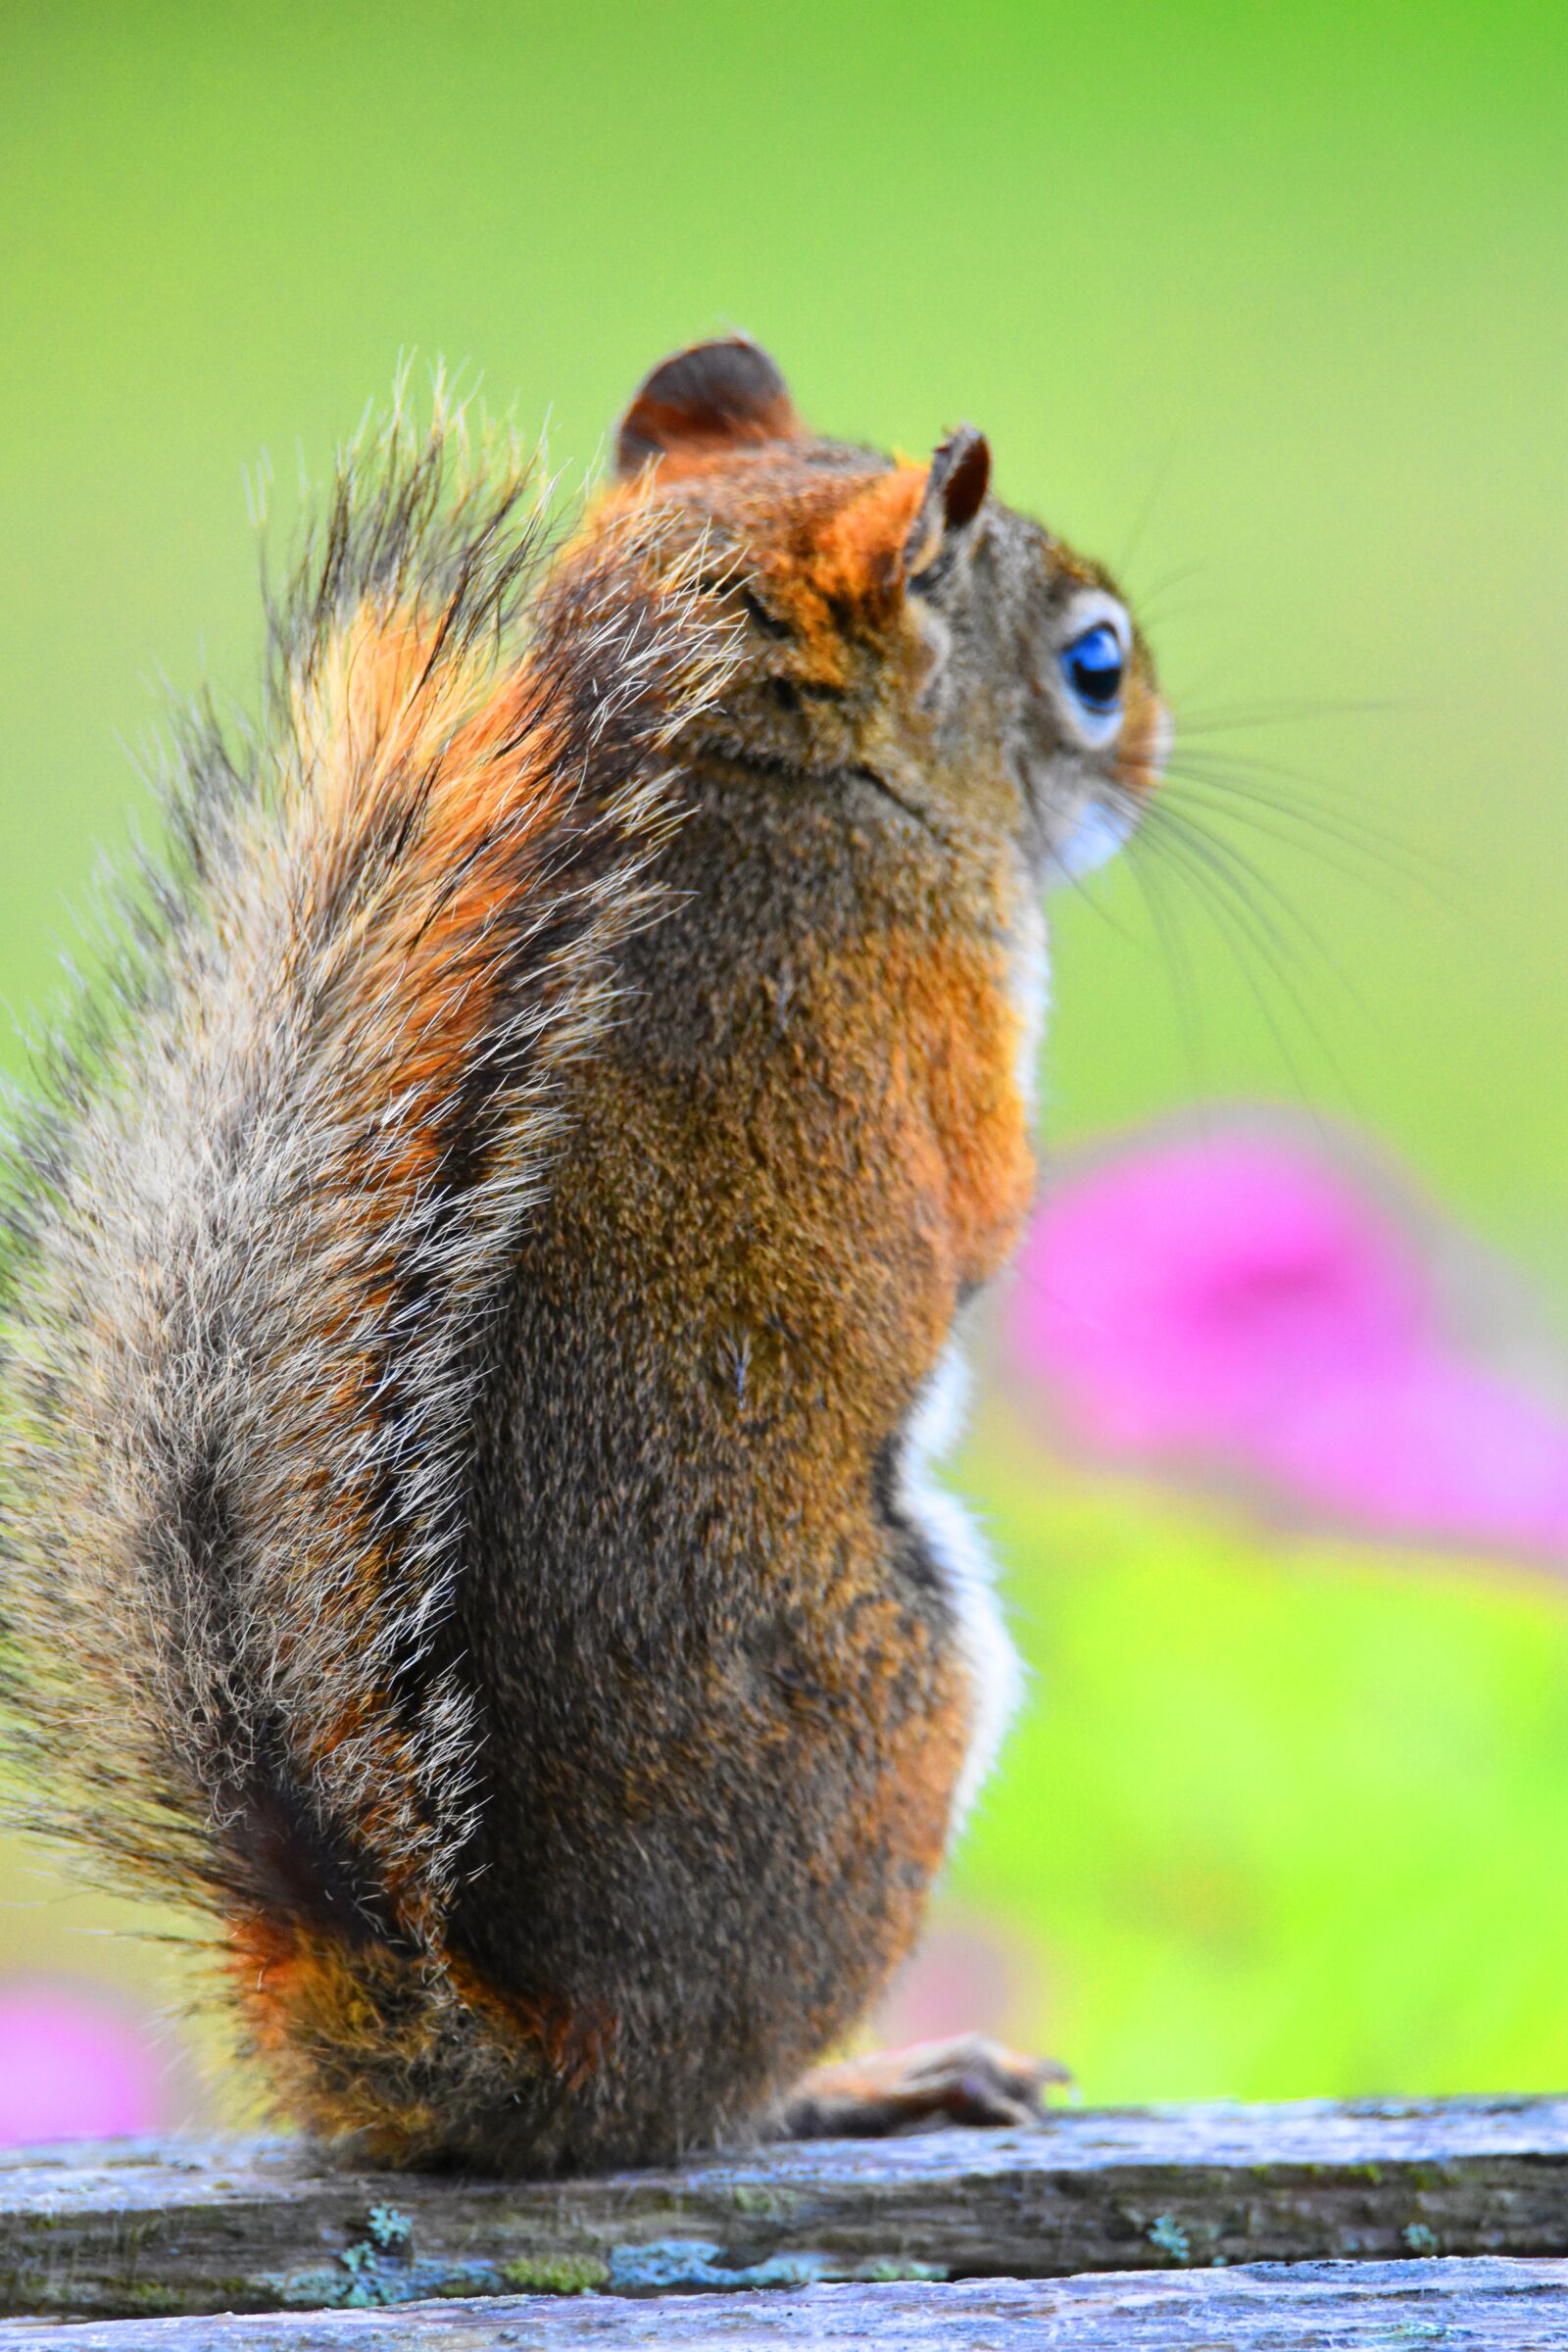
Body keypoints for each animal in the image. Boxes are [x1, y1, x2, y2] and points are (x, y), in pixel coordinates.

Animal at [0, 338, 1167, 2174]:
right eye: (1095, 664)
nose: (1159, 753)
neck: (769, 774)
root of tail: (524, 2056)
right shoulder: (942, 1025)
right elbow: (980, 1208)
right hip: (900, 1714)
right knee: (706, 2104)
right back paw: (864, 2080)